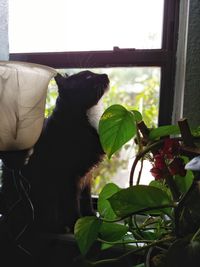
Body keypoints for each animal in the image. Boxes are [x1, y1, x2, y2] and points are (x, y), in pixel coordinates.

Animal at [1, 71, 109, 234]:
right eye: (88, 77)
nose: (106, 75)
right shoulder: (69, 178)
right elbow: (73, 204)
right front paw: (76, 224)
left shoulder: (87, 176)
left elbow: (86, 200)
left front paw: (90, 218)